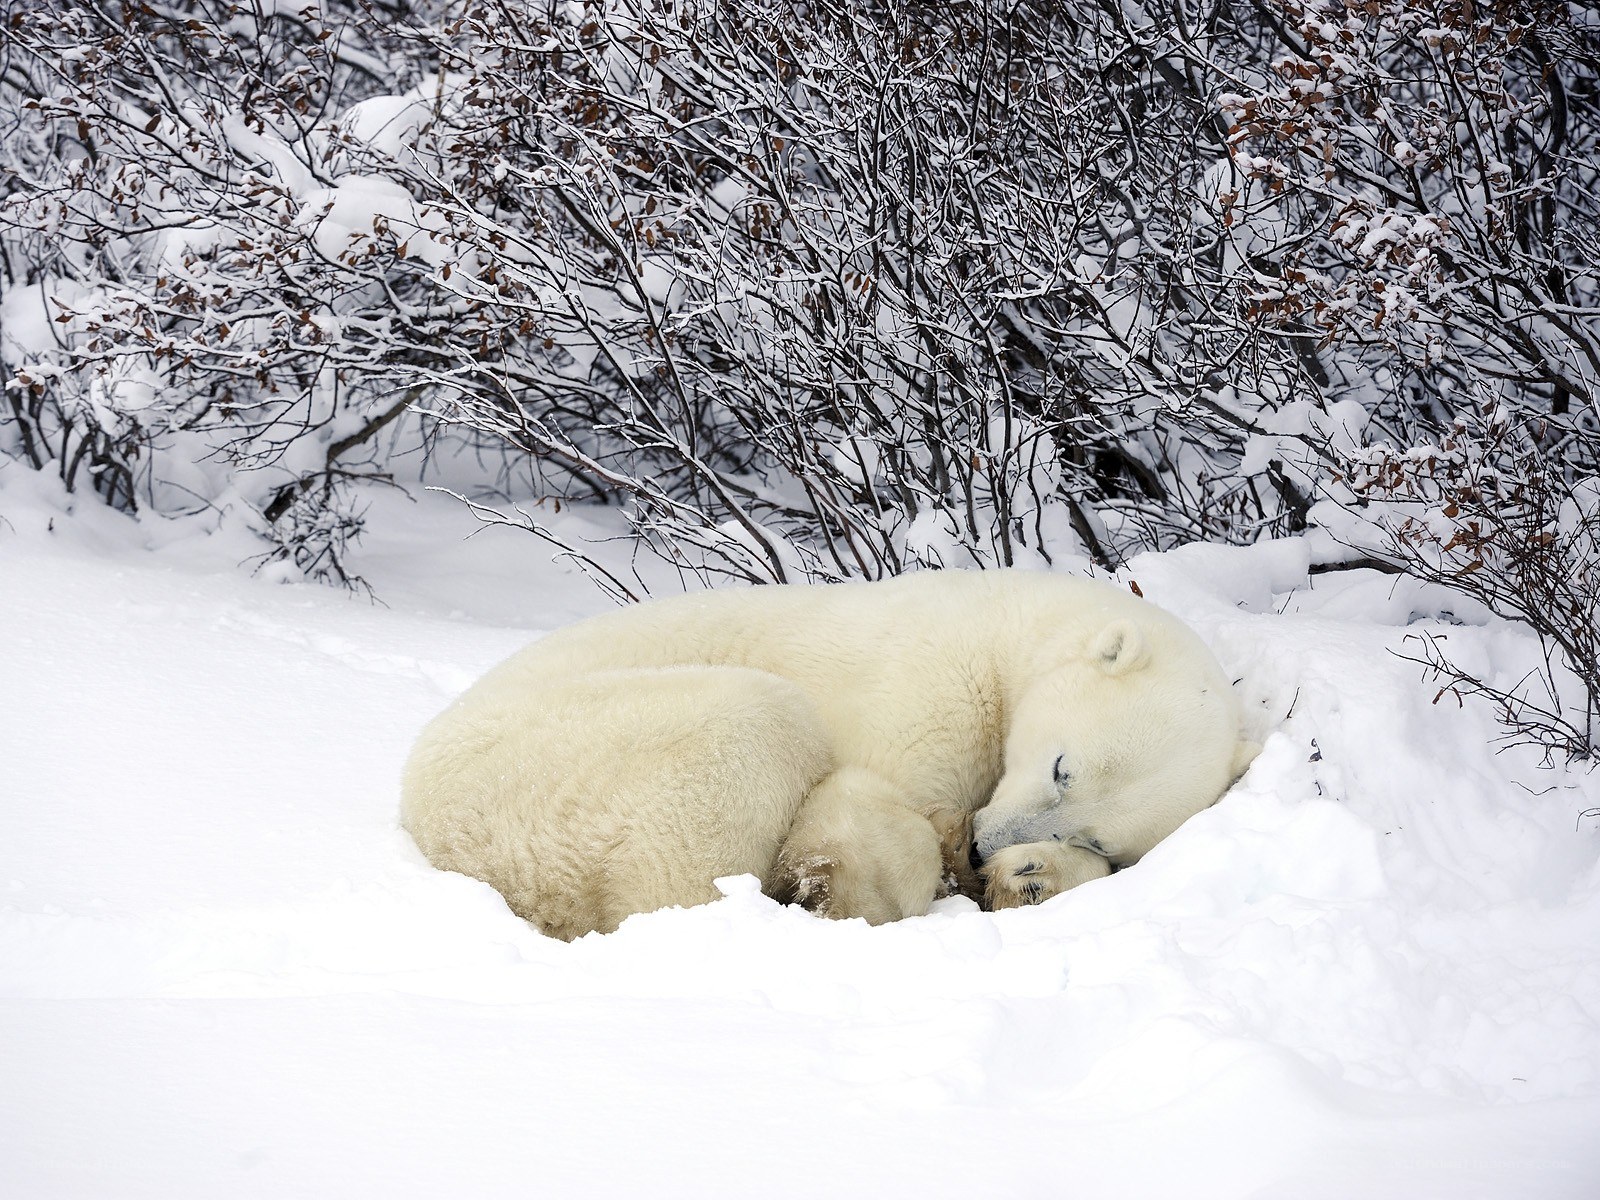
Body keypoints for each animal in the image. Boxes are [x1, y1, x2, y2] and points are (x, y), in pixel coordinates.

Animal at [400, 569, 1258, 940]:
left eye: (1097, 836)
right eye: (1060, 767)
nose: (986, 848)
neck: (1007, 631)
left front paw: (1031, 879)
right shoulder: (927, 685)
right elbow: (865, 801)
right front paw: (849, 887)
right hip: (556, 763)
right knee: (751, 731)